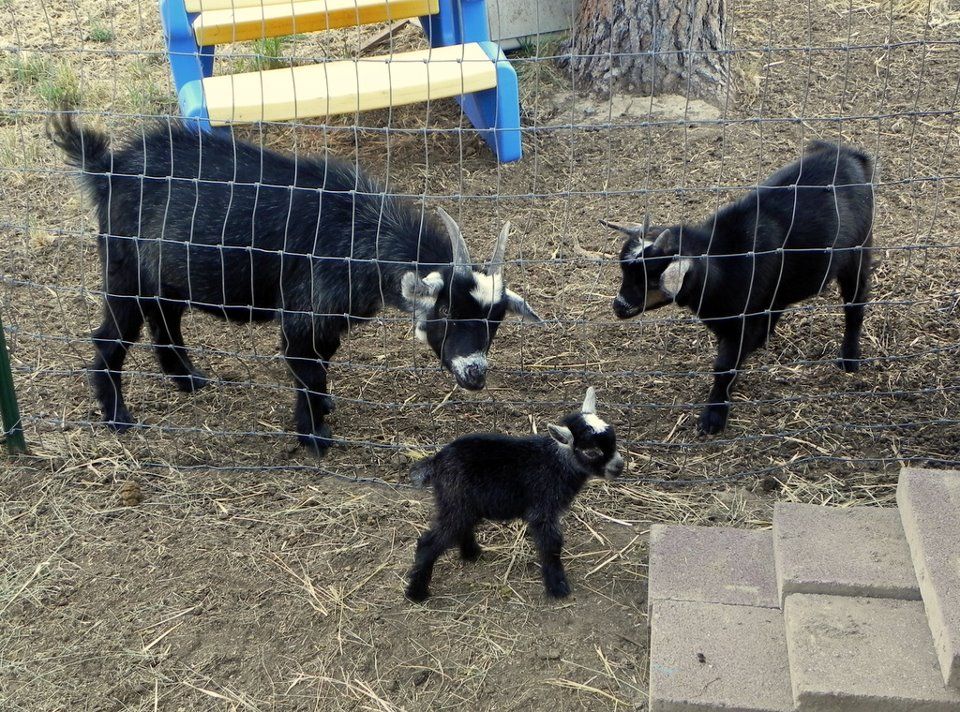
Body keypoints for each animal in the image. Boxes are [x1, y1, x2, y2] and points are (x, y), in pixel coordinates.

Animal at [48, 113, 541, 454]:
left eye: (496, 322)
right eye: (447, 309)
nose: (475, 374)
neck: (358, 231)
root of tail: (108, 168)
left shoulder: (331, 318)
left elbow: (321, 363)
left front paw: (322, 411)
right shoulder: (305, 313)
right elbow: (307, 367)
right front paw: (314, 437)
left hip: (165, 275)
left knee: (164, 319)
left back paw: (189, 380)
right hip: (123, 269)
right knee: (111, 337)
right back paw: (118, 417)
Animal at [405, 387, 624, 602]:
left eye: (613, 438)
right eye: (591, 452)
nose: (619, 466)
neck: (555, 462)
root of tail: (435, 461)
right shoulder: (542, 510)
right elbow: (552, 545)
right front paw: (558, 587)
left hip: (463, 504)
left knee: (462, 526)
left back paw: (472, 554)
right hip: (455, 500)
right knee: (429, 542)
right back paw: (416, 593)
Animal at [606, 140, 874, 434]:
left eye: (653, 278)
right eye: (625, 270)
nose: (619, 306)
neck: (723, 259)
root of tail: (848, 154)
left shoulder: (741, 320)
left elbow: (724, 366)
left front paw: (713, 416)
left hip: (858, 252)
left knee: (855, 303)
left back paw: (850, 357)